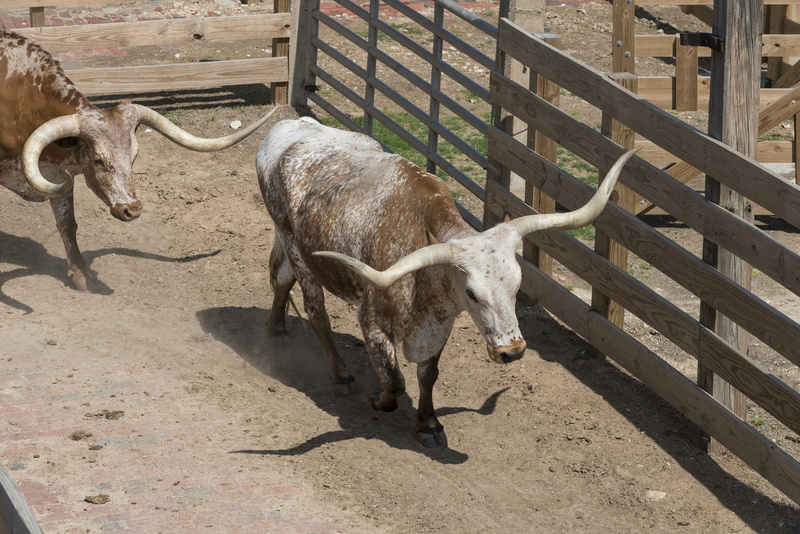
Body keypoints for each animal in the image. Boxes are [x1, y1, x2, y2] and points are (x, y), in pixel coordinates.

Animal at [0, 30, 276, 291]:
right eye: (98, 160)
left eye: (134, 157)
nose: (132, 210)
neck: (21, 100)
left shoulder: (57, 176)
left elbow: (67, 225)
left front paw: (82, 277)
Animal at [257, 116, 639, 447]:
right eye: (472, 293)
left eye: (517, 287)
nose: (513, 351)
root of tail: (290, 125)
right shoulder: (372, 322)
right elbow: (394, 381)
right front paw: (378, 399)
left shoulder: (441, 323)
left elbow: (428, 374)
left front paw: (428, 423)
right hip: (295, 245)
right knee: (316, 311)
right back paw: (339, 373)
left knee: (281, 279)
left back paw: (276, 327)